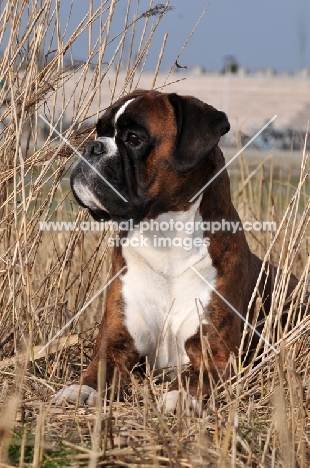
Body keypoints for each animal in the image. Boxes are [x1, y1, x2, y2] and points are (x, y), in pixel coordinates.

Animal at [53, 89, 298, 412]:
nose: (91, 147)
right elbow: (98, 368)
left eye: (134, 139)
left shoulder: (217, 356)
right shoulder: (116, 341)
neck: (164, 243)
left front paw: (180, 395)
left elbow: (193, 376)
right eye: (99, 132)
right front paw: (80, 389)